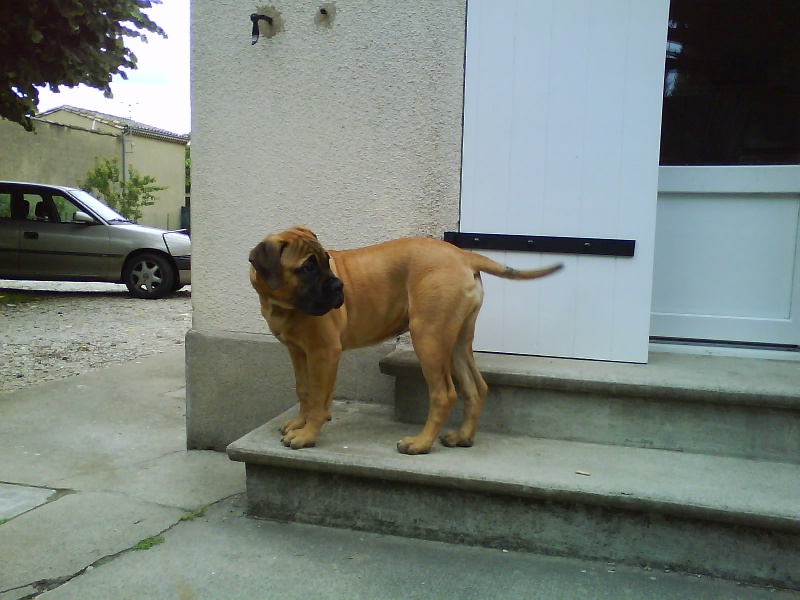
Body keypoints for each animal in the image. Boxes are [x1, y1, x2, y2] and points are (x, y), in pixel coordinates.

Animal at [249, 226, 563, 454]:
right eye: (307, 268)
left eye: (327, 262)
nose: (340, 287)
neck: (283, 304)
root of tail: (463, 256)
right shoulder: (298, 352)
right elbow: (304, 390)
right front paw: (299, 424)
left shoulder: (324, 352)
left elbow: (316, 396)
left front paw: (307, 434)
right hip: (456, 341)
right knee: (476, 387)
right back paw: (462, 437)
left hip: (428, 337)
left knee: (444, 394)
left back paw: (420, 443)